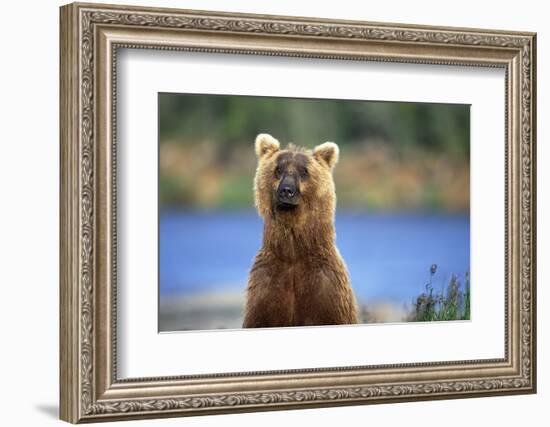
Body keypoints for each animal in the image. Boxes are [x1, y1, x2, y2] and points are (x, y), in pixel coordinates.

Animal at [244, 134, 360, 328]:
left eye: (304, 171)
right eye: (278, 169)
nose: (287, 190)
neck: (293, 253)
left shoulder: (326, 290)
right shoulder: (266, 287)